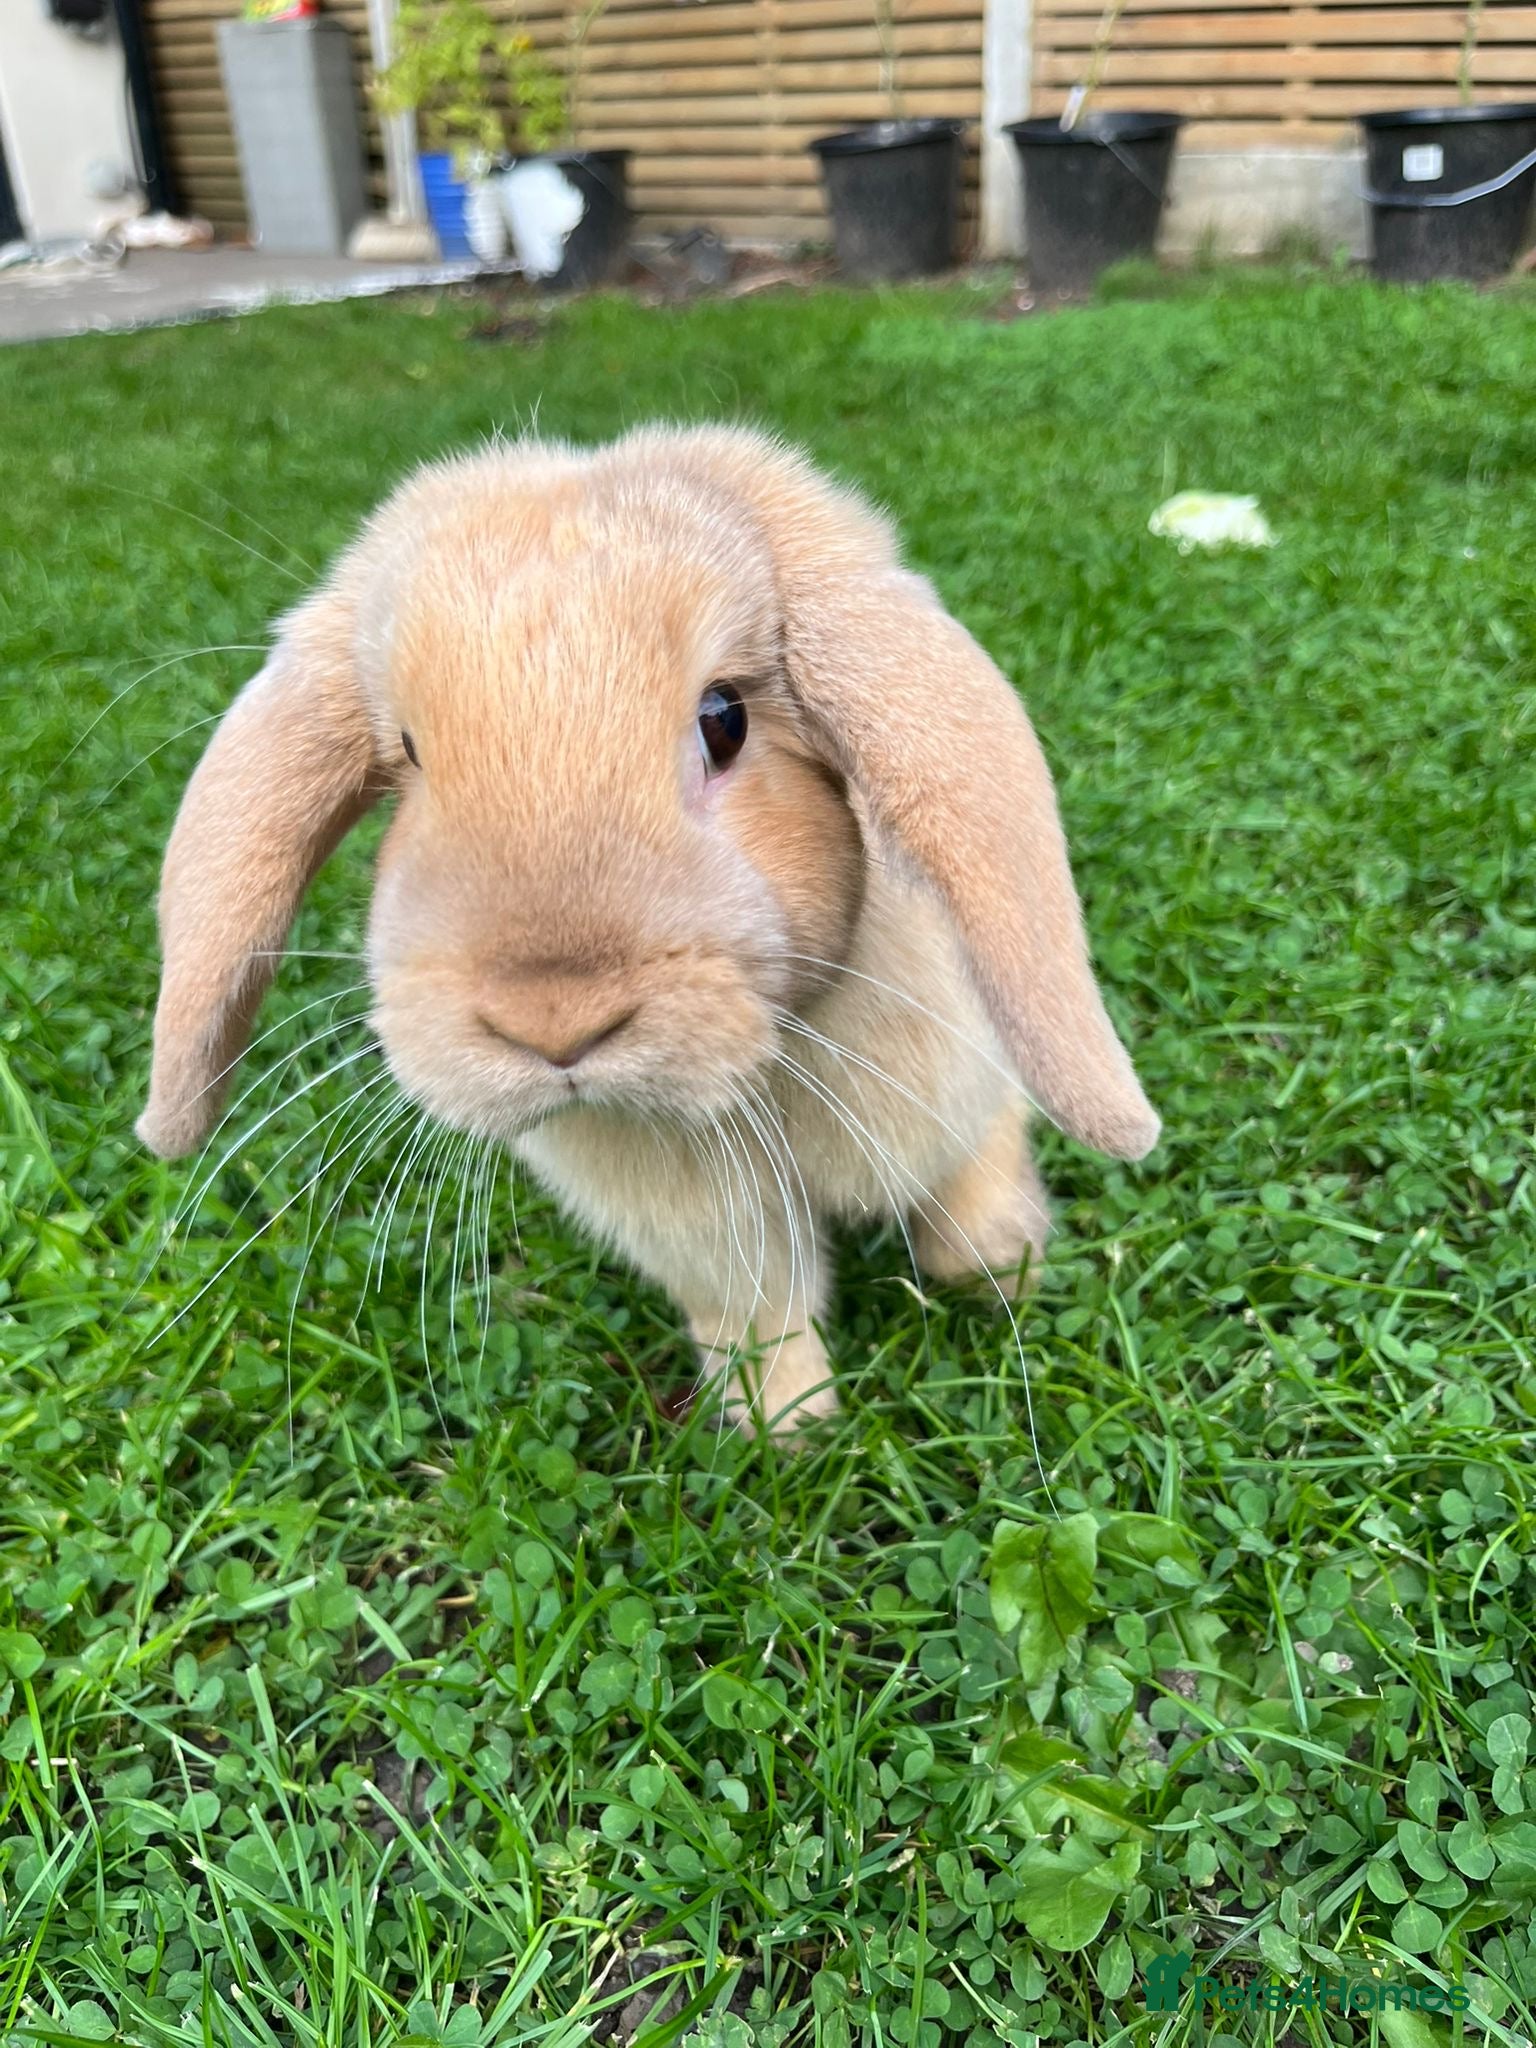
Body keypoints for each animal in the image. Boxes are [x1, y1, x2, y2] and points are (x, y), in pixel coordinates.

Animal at [136, 424, 1159, 1436]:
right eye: (410, 755)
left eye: (724, 719)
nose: (554, 1022)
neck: (770, 1063)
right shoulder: (710, 1232)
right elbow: (761, 1314)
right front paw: (788, 1426)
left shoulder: (960, 1084)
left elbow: (976, 1178)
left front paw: (1004, 1270)